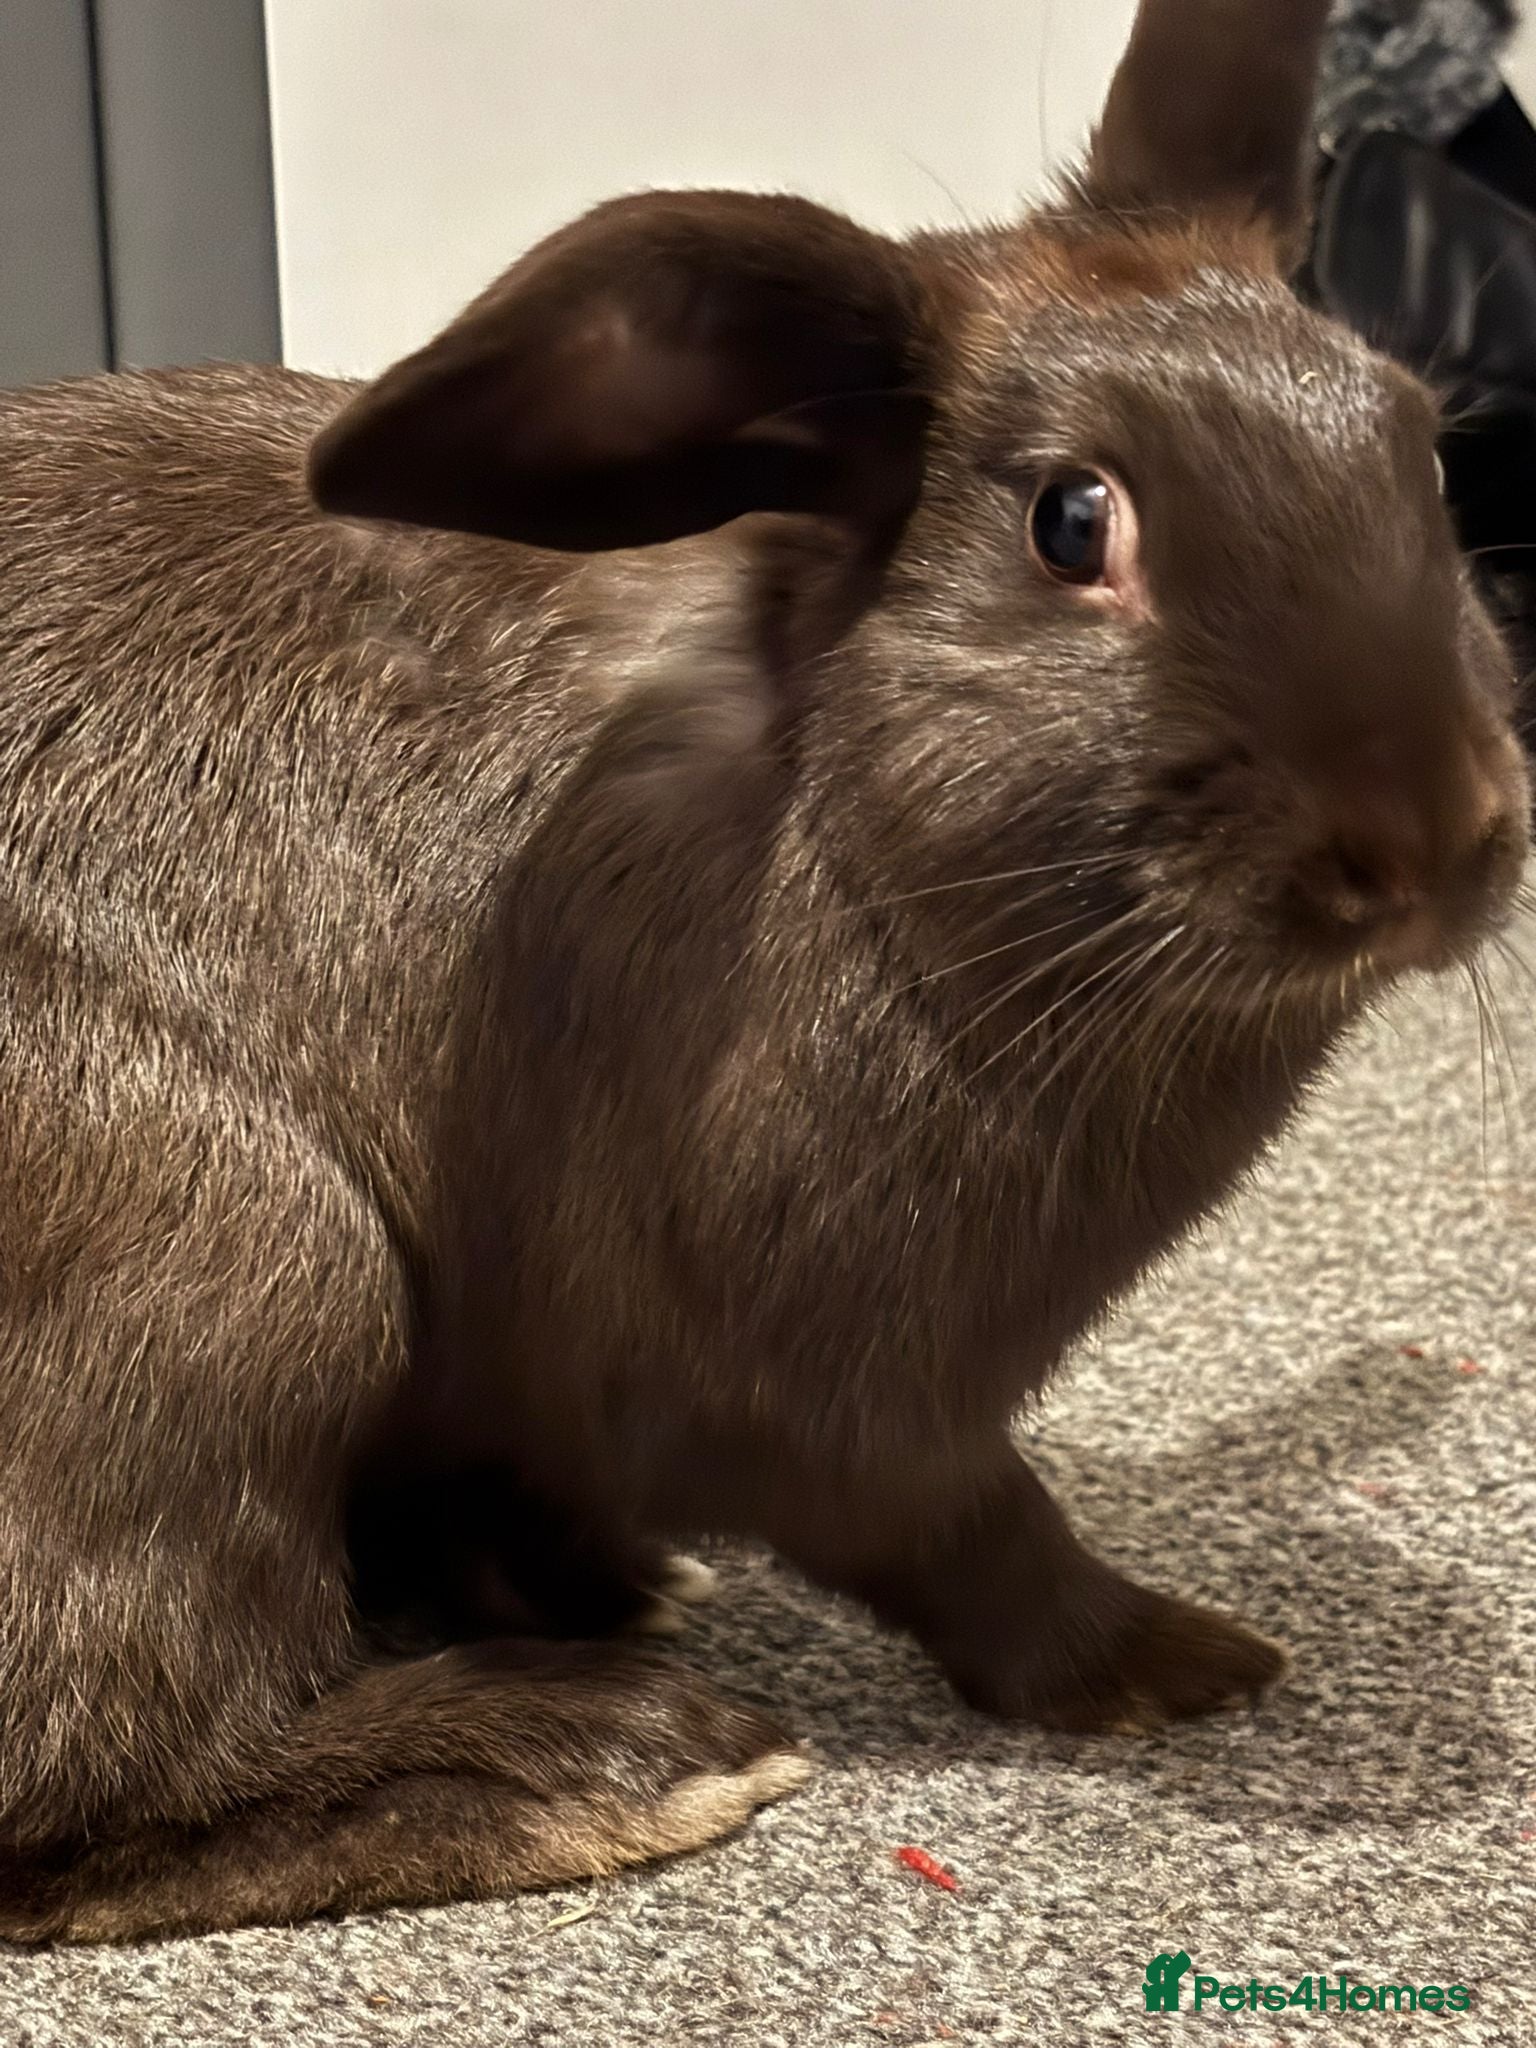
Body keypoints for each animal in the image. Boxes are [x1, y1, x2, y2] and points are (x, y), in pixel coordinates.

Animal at [0, 0, 1528, 1944]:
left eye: (1420, 446)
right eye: (1071, 522)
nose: (1428, 842)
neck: (841, 817)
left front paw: (601, 1579)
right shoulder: (831, 1395)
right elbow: (972, 1533)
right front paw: (1180, 1665)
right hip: (246, 1267)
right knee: (106, 1786)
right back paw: (612, 1757)